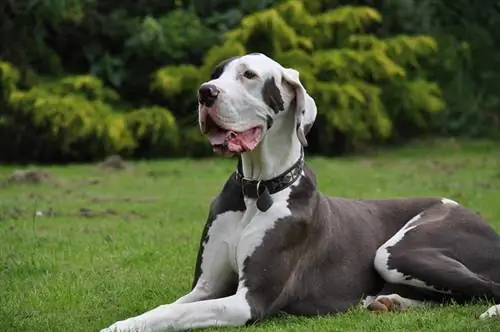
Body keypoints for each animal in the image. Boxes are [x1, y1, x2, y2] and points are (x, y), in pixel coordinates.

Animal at [101, 53, 500, 330]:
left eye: (248, 75)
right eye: (216, 74)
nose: (204, 93)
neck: (257, 190)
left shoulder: (249, 301)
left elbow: (172, 315)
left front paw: (118, 326)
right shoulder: (207, 287)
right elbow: (169, 308)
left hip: (398, 251)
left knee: (486, 287)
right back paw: (392, 302)